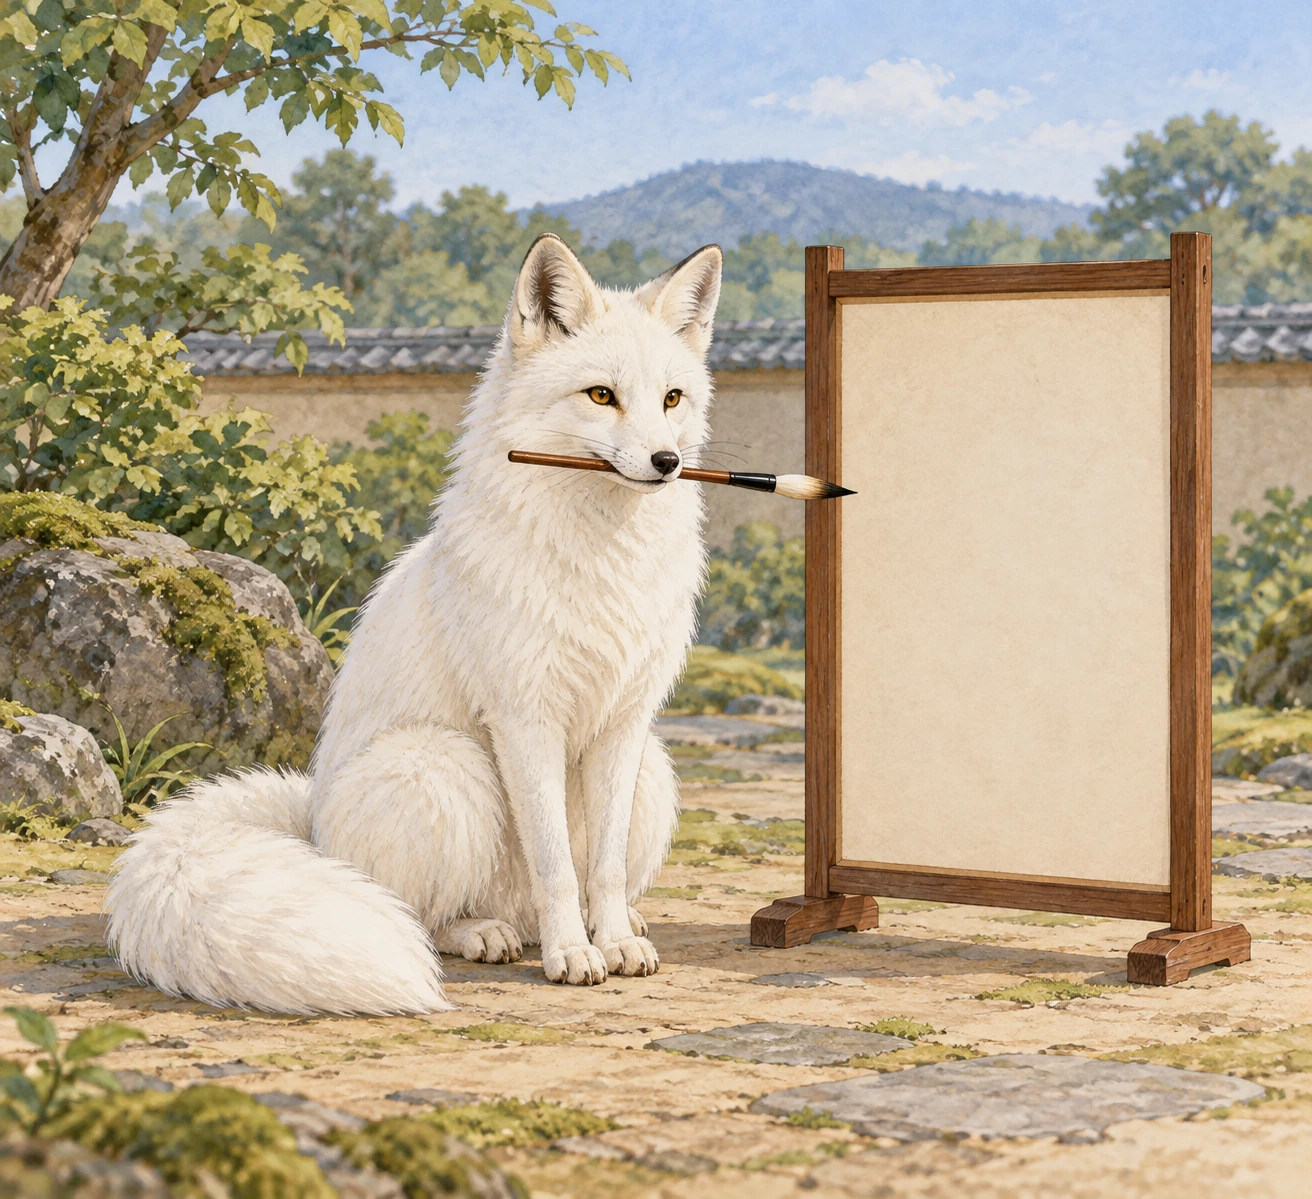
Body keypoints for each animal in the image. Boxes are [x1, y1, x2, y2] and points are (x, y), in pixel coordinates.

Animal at [104, 234, 724, 1016]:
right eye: (601, 395)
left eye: (672, 399)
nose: (666, 462)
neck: (602, 563)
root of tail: (312, 824)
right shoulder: (525, 719)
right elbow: (555, 863)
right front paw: (572, 957)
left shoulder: (624, 721)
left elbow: (601, 867)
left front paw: (610, 943)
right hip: (444, 763)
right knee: (422, 914)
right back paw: (489, 934)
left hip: (654, 772)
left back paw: (604, 925)